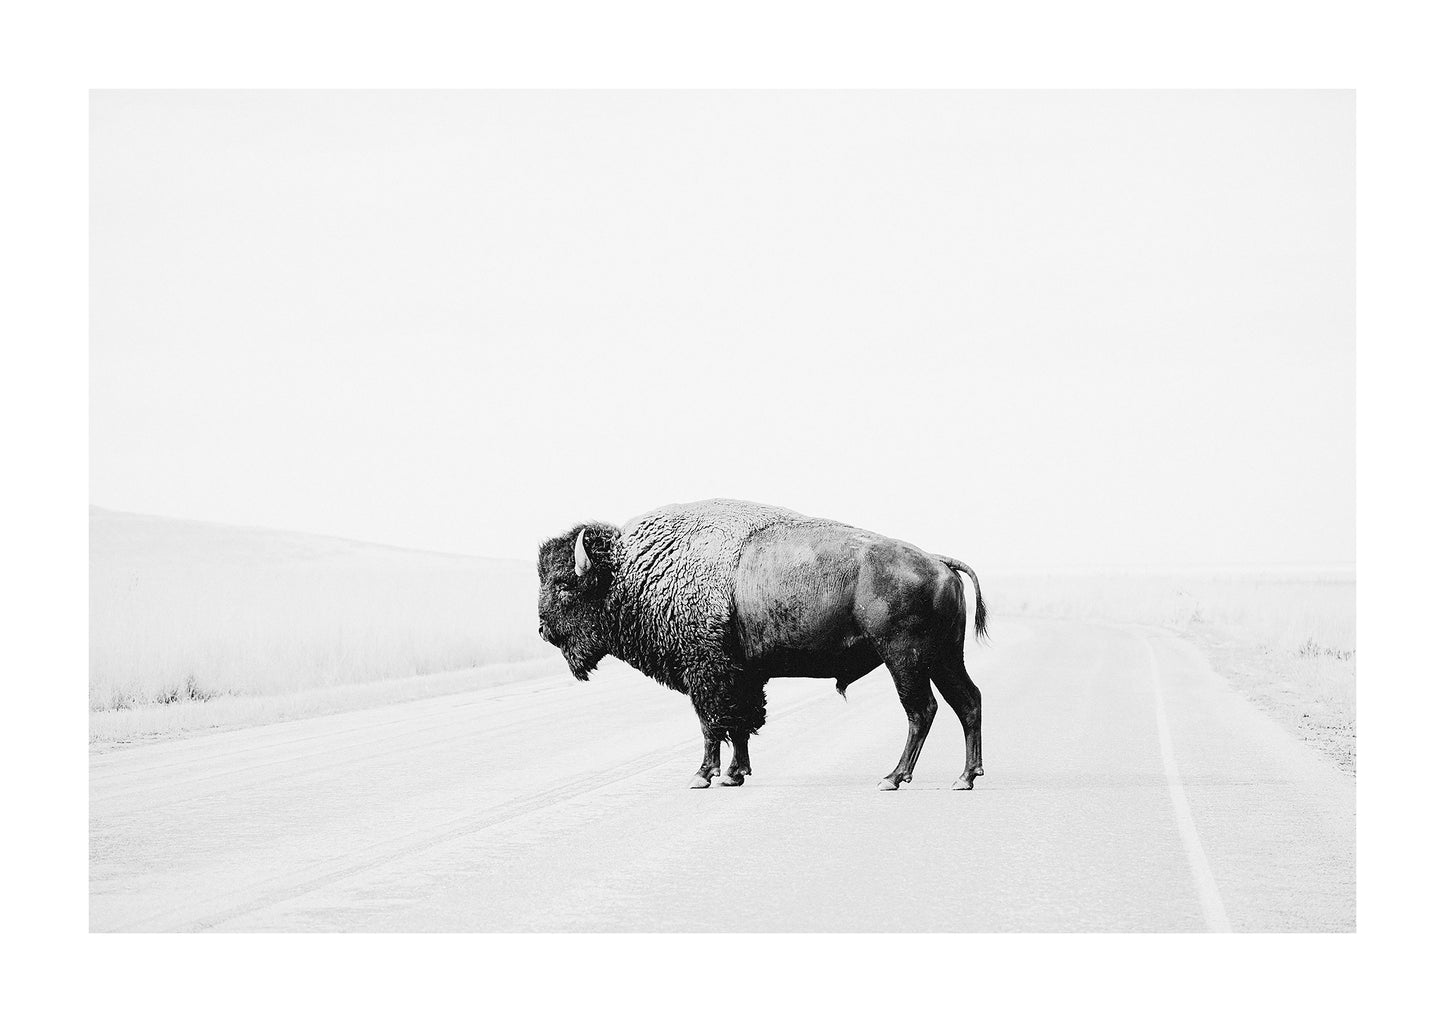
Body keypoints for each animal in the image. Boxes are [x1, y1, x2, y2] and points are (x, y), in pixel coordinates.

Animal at [537, 497, 988, 792]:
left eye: (564, 585)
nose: (544, 630)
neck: (635, 569)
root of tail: (939, 562)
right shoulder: (742, 675)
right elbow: (741, 724)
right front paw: (735, 775)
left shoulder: (707, 673)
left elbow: (713, 724)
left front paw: (702, 776)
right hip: (944, 659)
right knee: (967, 702)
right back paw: (965, 778)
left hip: (904, 660)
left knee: (921, 710)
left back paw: (893, 778)